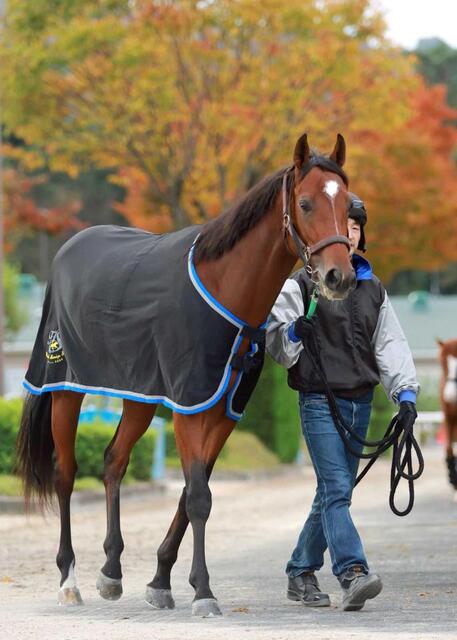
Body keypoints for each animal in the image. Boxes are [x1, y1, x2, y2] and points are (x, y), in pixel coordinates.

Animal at [16, 132, 356, 617]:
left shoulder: (223, 411)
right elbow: (198, 496)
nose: (338, 277)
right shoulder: (188, 405)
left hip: (139, 396)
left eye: (347, 202)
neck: (224, 289)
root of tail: (69, 248)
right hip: (65, 387)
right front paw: (203, 591)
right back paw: (69, 580)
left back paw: (112, 571)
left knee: (113, 461)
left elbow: (193, 490)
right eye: (306, 203)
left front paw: (160, 581)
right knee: (66, 473)